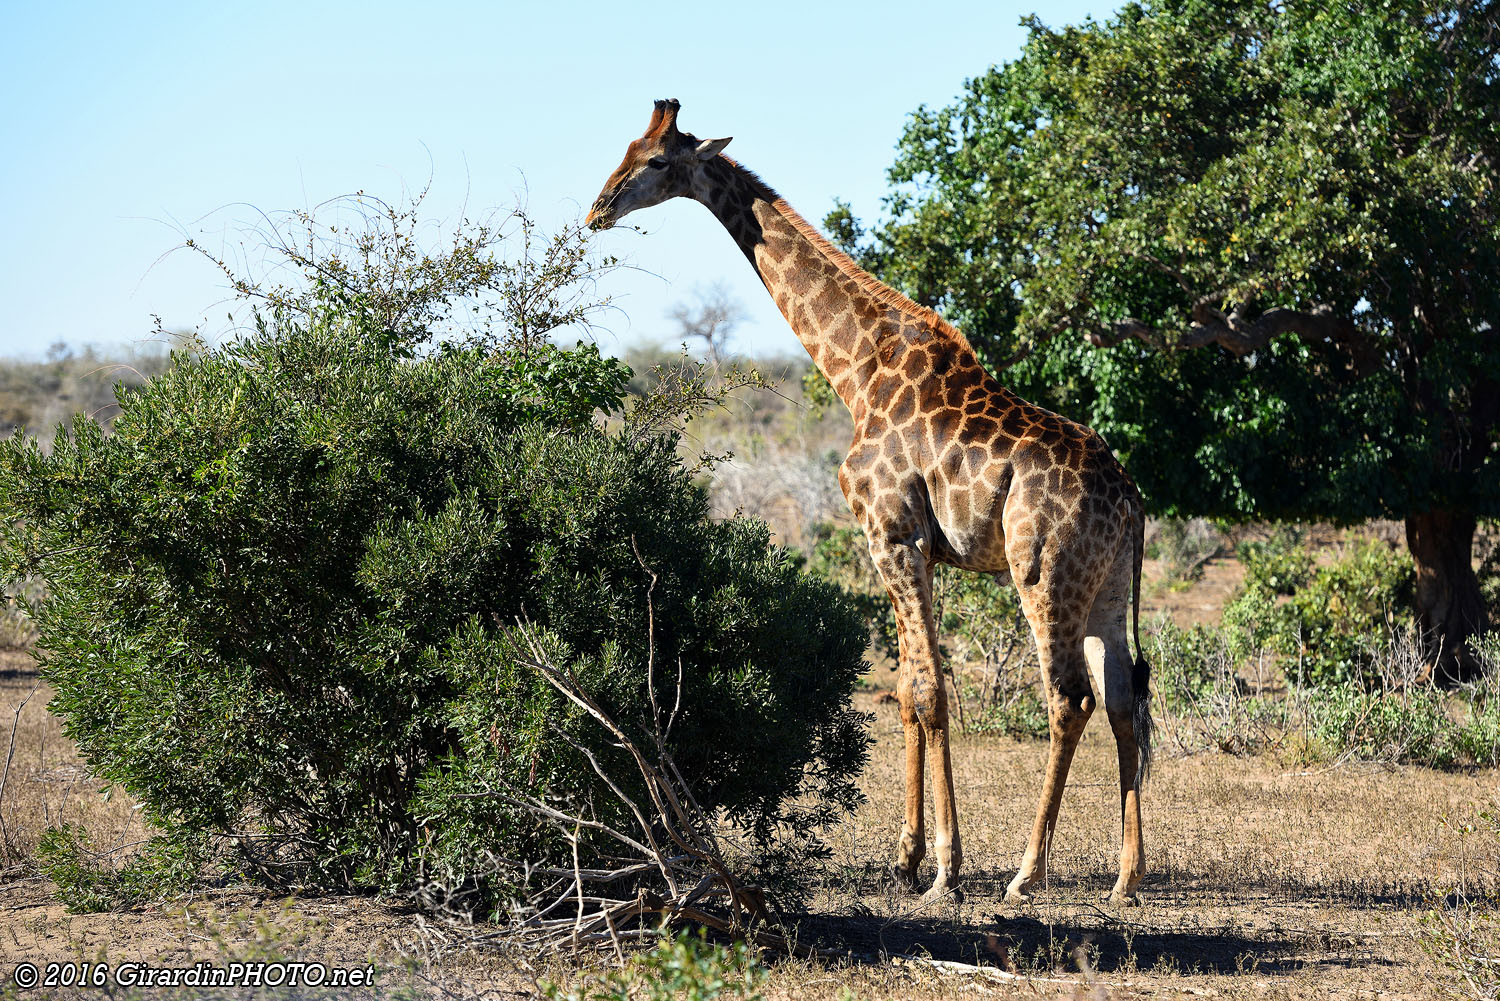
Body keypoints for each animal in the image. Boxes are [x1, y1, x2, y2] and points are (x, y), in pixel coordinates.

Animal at [587, 99, 1153, 906]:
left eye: (657, 161)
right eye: (627, 147)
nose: (598, 209)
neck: (856, 369)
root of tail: (1132, 501)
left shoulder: (893, 533)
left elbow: (931, 688)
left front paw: (946, 868)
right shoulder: (906, 544)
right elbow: (911, 689)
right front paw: (908, 858)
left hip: (1044, 571)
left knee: (1069, 698)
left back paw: (1026, 872)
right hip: (1106, 585)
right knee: (1125, 700)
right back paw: (1126, 877)